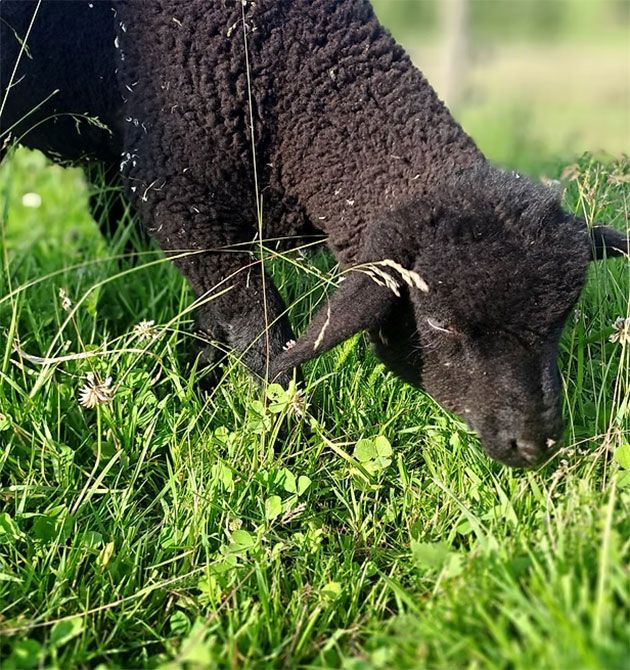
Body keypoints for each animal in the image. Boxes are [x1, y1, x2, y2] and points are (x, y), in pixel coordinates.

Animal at [0, 0, 627, 467]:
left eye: (560, 320)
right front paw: (289, 436)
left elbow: (216, 324)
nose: (534, 446)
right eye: (440, 324)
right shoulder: (184, 208)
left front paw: (201, 388)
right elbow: (262, 332)